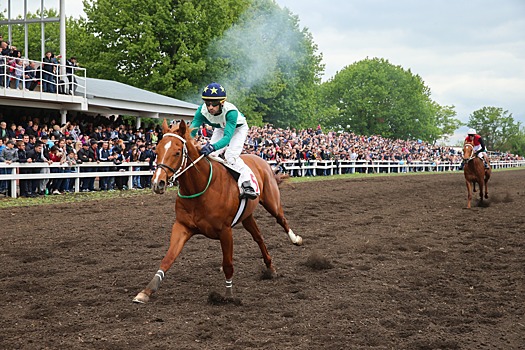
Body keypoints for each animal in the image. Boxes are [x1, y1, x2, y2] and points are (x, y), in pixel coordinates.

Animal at [132, 120, 302, 304]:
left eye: (177, 152)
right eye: (156, 151)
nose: (158, 183)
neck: (200, 189)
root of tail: (260, 160)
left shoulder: (225, 231)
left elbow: (228, 263)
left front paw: (228, 294)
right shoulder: (182, 226)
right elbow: (168, 258)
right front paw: (146, 291)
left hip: (272, 202)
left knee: (281, 219)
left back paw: (296, 239)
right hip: (247, 216)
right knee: (259, 237)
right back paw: (270, 268)